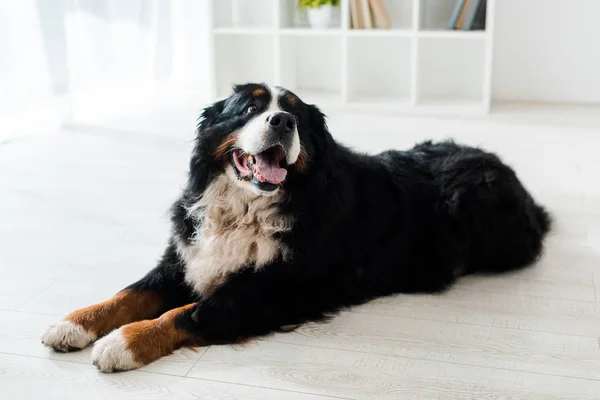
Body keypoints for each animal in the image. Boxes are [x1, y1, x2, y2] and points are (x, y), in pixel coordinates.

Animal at [39, 83, 552, 374]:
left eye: (298, 116)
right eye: (248, 108)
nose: (282, 121)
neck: (246, 207)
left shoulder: (270, 291)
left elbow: (186, 313)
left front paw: (121, 343)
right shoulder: (185, 257)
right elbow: (128, 294)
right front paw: (73, 323)